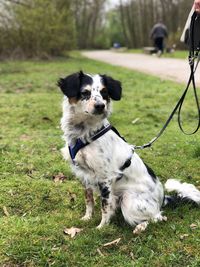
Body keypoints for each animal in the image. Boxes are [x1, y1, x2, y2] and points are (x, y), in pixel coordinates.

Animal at [57, 71, 200, 234]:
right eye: (85, 92)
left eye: (104, 92)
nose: (100, 106)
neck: (84, 133)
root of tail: (163, 198)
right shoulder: (84, 175)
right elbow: (89, 200)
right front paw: (87, 218)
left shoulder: (105, 178)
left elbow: (104, 207)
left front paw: (101, 227)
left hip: (129, 200)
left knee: (158, 217)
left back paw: (141, 227)